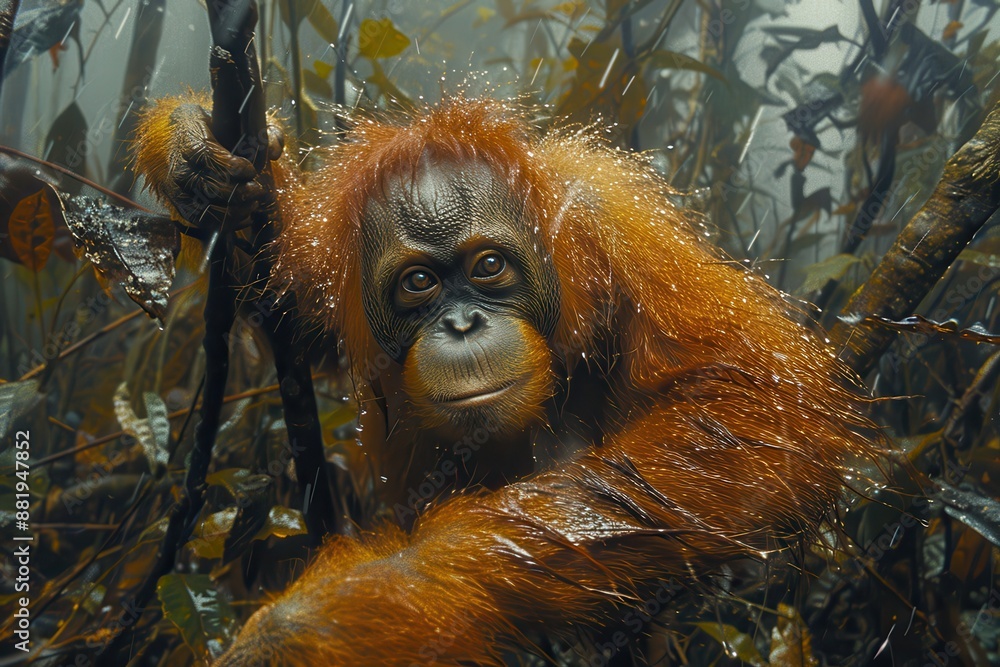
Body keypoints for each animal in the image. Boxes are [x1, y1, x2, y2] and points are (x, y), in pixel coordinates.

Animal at [132, 95, 881, 665]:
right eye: (418, 282)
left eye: (489, 265)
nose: (463, 324)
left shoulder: (617, 224)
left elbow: (750, 395)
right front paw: (191, 153)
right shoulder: (332, 264)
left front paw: (326, 619)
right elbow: (287, 303)